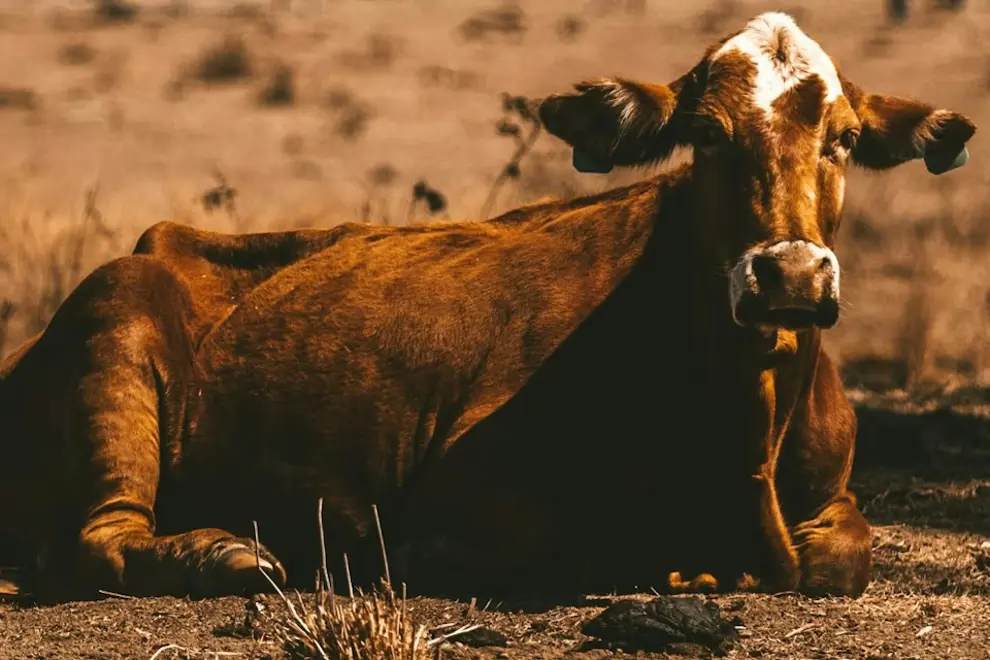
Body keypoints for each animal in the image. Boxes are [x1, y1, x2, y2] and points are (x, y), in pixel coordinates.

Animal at [0, 11, 976, 604]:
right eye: (705, 134)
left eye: (843, 138)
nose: (791, 277)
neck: (747, 430)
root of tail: (161, 238)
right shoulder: (464, 491)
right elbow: (564, 544)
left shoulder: (833, 498)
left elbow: (842, 555)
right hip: (115, 316)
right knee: (99, 538)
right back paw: (224, 550)